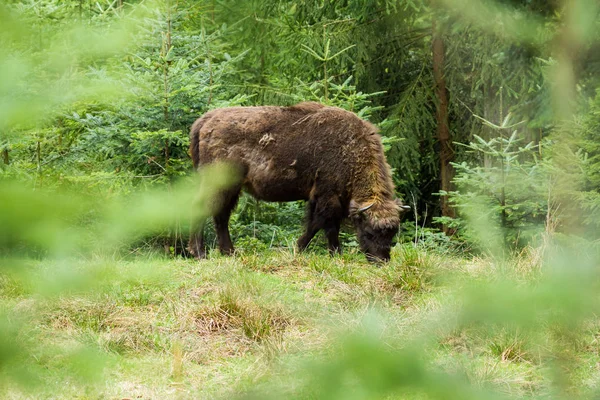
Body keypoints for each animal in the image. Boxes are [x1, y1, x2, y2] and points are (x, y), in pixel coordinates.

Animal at [190, 101, 410, 260]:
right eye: (369, 232)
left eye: (392, 234)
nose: (382, 260)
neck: (350, 149)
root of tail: (206, 120)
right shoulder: (327, 196)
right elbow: (323, 224)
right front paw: (329, 253)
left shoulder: (319, 198)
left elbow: (317, 223)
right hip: (218, 185)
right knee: (202, 210)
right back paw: (200, 253)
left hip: (232, 188)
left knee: (221, 216)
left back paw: (229, 252)